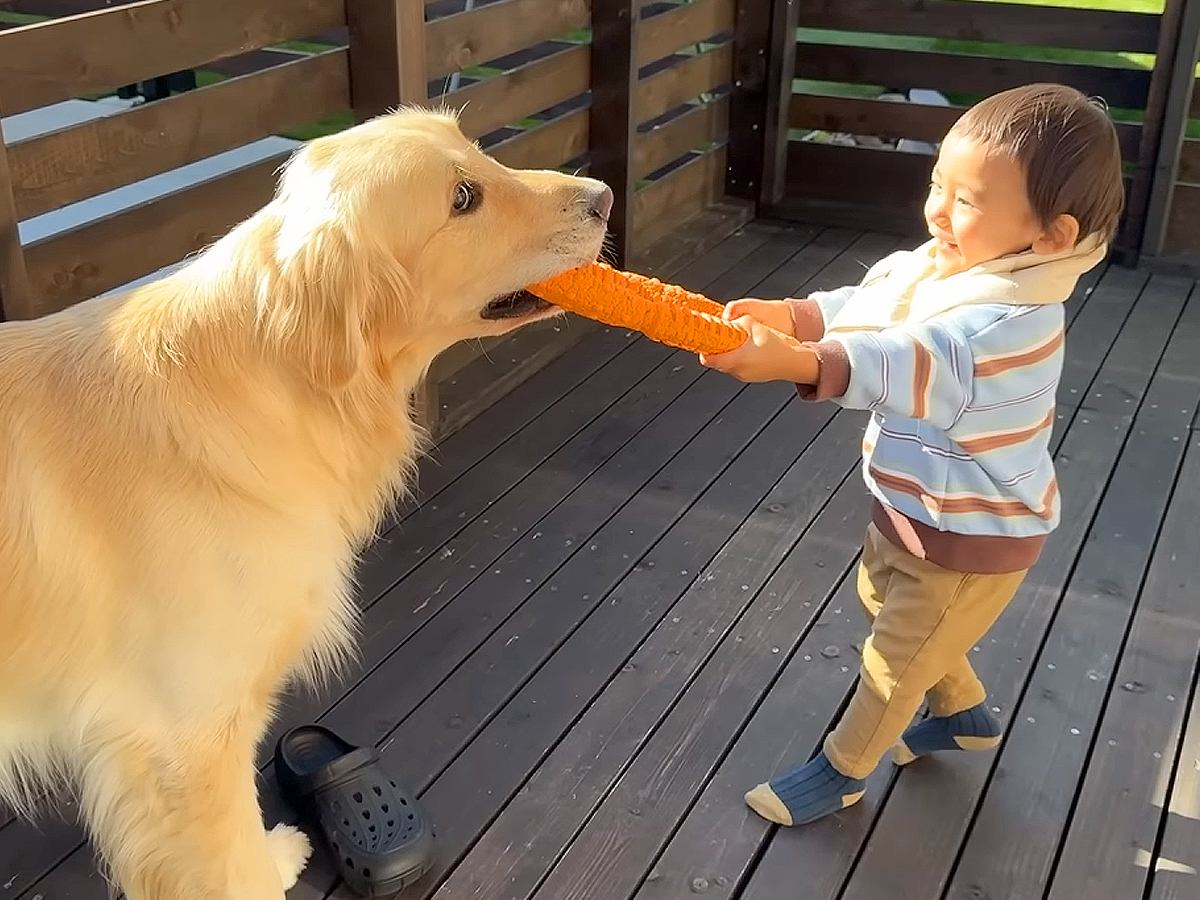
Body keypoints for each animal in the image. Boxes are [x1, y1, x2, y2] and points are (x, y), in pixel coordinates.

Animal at [0, 109, 614, 897]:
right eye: (463, 198)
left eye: (477, 152)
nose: (603, 196)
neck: (279, 385)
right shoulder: (186, 741)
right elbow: (229, 866)